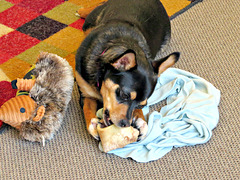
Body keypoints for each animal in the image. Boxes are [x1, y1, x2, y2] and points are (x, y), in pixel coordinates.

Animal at [76, 0, 179, 141]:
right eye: (124, 95)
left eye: (142, 105)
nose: (125, 124)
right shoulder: (85, 92)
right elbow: (87, 108)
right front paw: (93, 125)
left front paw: (141, 122)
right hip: (89, 24)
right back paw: (82, 10)